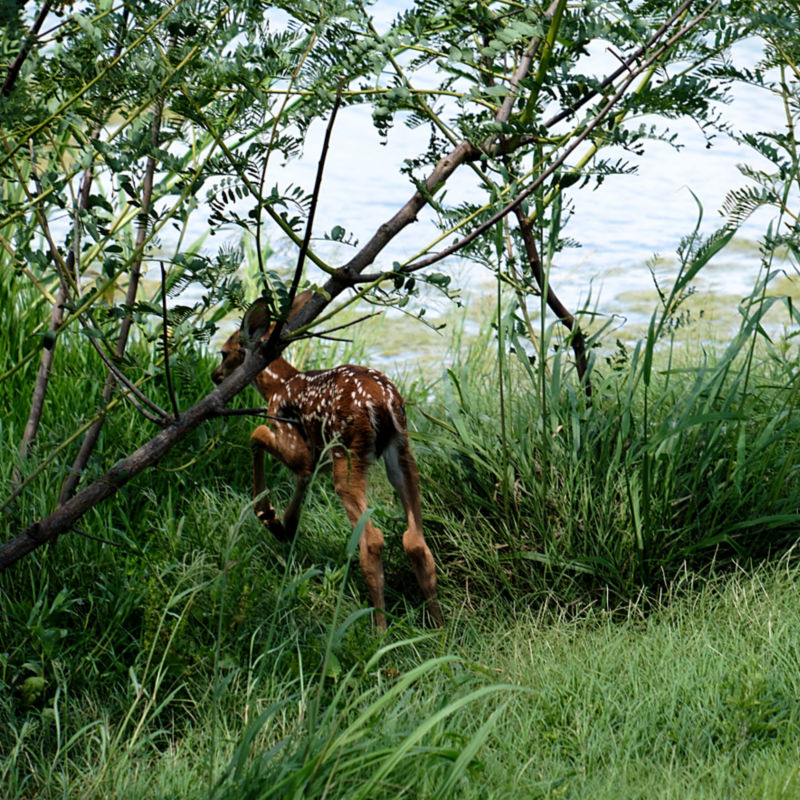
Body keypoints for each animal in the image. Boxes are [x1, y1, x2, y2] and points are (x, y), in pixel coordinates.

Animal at [211, 290, 443, 631]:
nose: (215, 376)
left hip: (346, 451)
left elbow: (258, 434)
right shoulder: (313, 452)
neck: (279, 384)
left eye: (224, 352)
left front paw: (270, 516)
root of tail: (383, 403)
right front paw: (285, 525)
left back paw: (380, 629)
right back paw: (438, 627)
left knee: (372, 539)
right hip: (401, 448)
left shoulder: (289, 434)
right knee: (415, 539)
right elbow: (303, 476)